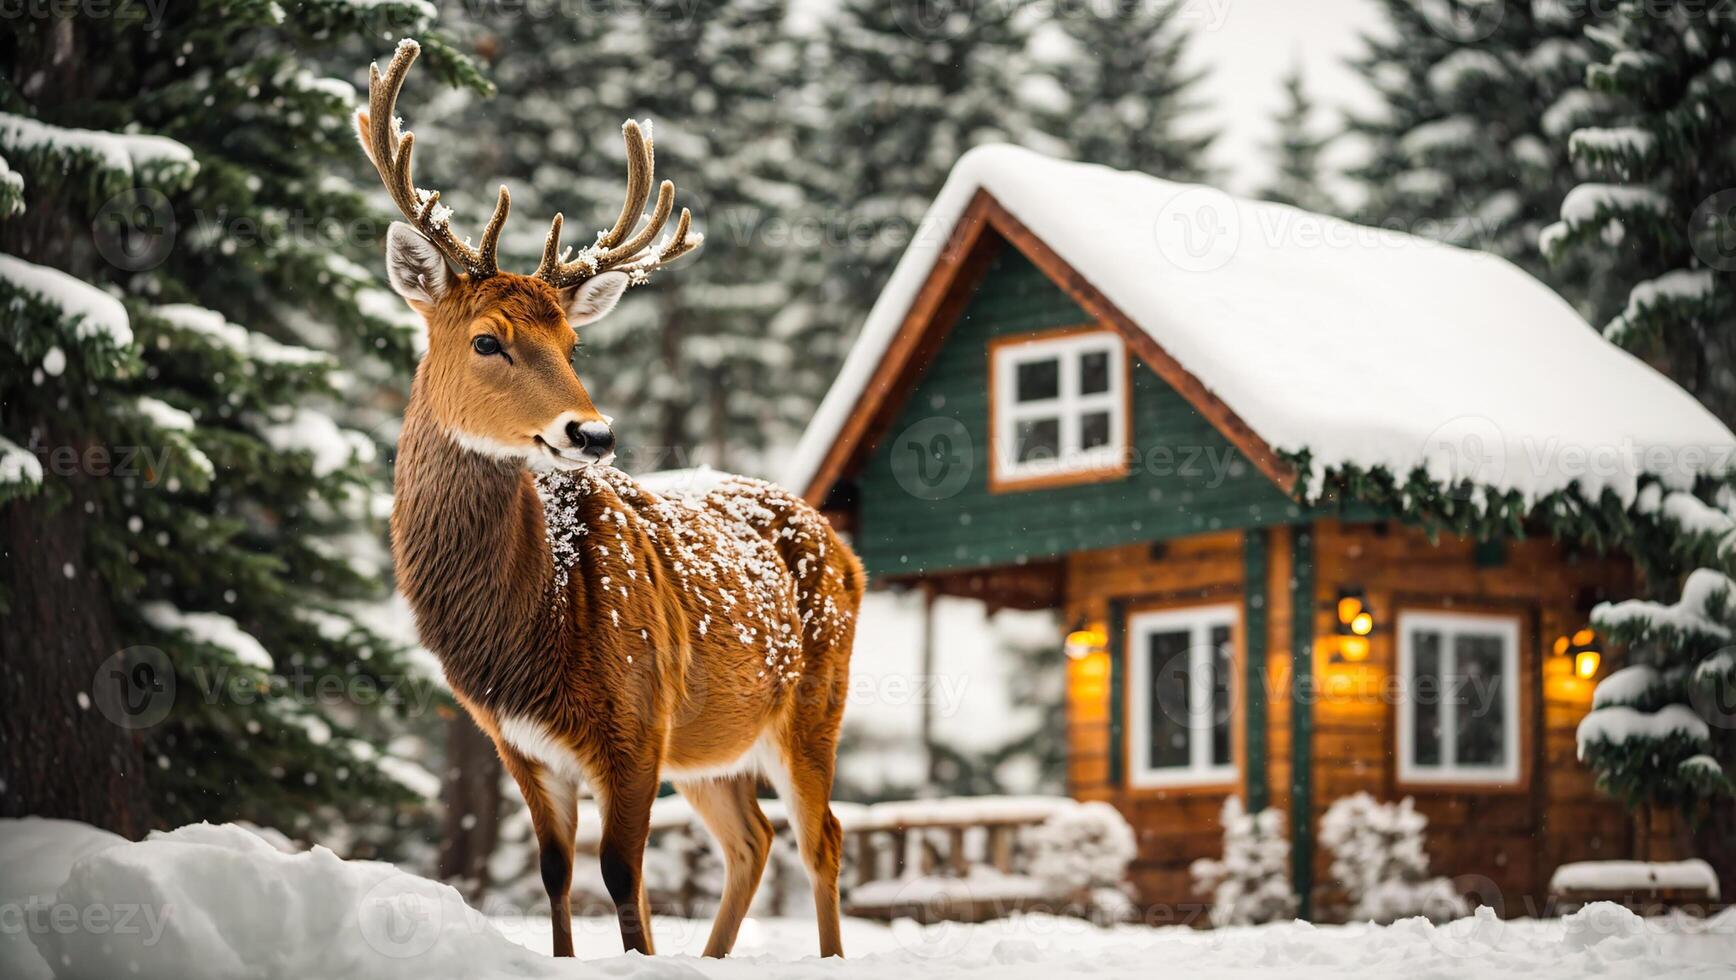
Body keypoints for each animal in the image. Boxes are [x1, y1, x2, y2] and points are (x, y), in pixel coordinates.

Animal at [357, 42, 861, 957]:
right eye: (486, 340)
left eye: (572, 342)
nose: (593, 433)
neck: (528, 630)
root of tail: (845, 548)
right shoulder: (518, 743)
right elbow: (558, 875)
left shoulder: (634, 720)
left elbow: (624, 881)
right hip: (712, 743)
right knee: (753, 840)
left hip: (814, 702)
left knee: (822, 837)